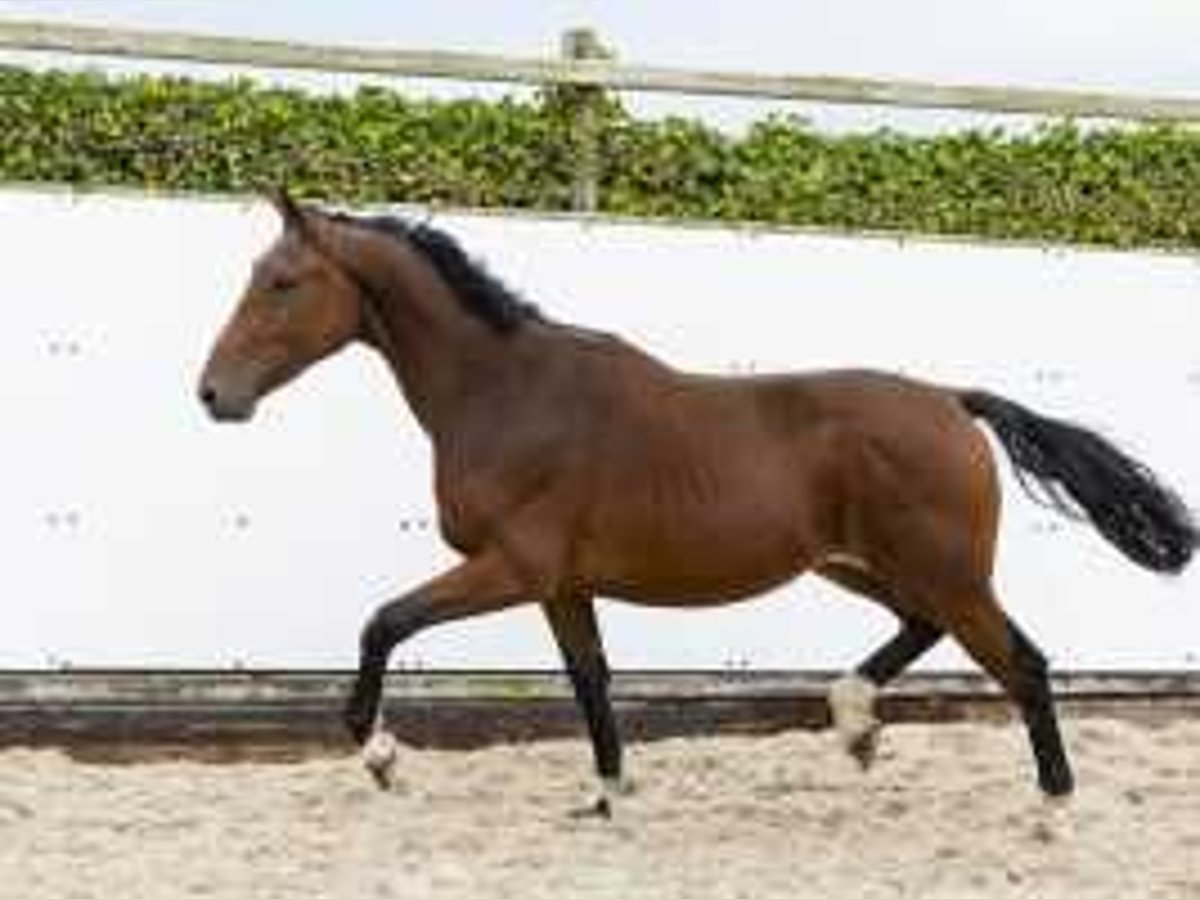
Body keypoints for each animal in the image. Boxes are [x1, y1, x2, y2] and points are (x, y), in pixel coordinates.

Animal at [196, 192, 1190, 816]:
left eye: (282, 281)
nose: (212, 395)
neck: (507, 392)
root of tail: (953, 400)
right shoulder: (562, 584)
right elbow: (590, 680)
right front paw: (604, 799)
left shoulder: (511, 567)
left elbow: (384, 623)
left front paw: (379, 758)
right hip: (865, 566)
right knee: (928, 631)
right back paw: (855, 724)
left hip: (941, 571)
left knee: (1024, 664)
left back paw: (1051, 809)